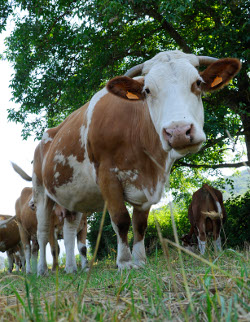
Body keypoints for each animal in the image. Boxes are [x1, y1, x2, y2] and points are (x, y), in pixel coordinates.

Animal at [14, 49, 241, 274]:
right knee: (43, 234)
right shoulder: (108, 176)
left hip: (72, 196)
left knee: (70, 229)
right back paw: (42, 271)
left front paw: (140, 260)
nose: (178, 132)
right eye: (147, 90)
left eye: (198, 83)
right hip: (41, 191)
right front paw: (124, 262)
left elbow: (140, 224)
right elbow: (121, 220)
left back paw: (71, 268)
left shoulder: (149, 183)